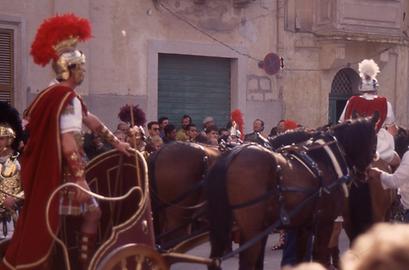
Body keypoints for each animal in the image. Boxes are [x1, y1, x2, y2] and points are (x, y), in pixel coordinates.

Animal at [207, 116, 376, 270]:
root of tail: (231, 156)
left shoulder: (304, 226)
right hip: (251, 231)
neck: (323, 160)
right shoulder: (325, 222)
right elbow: (320, 256)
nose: (365, 174)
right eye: (374, 141)